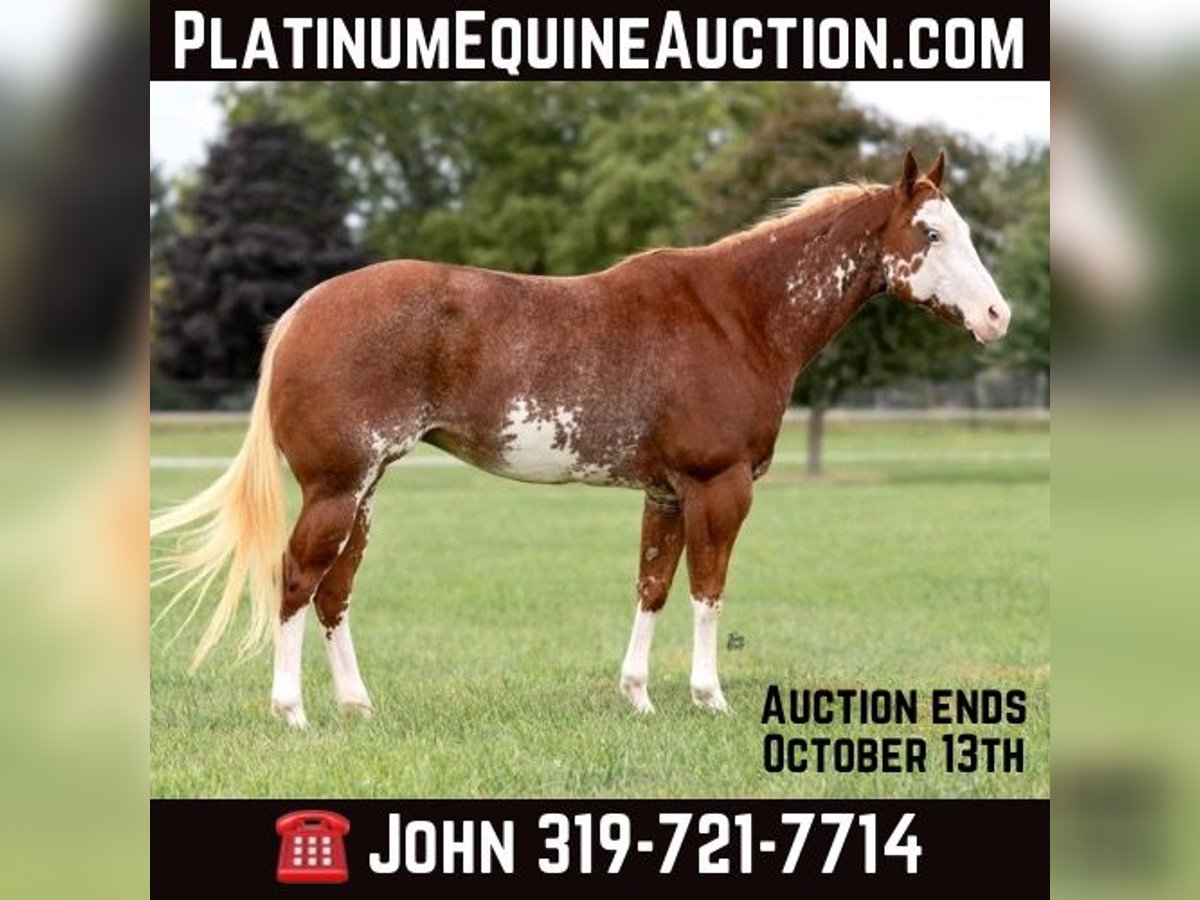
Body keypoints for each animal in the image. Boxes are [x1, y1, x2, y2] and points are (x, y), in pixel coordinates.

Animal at [151, 150, 1010, 728]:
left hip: (362, 493)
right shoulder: (720, 485)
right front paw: (709, 697)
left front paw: (638, 697)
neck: (737, 313)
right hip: (335, 489)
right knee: (296, 579)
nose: (997, 315)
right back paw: (291, 712)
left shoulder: (669, 493)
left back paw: (358, 706)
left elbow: (652, 587)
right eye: (931, 233)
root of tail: (303, 311)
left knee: (334, 590)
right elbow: (708, 590)